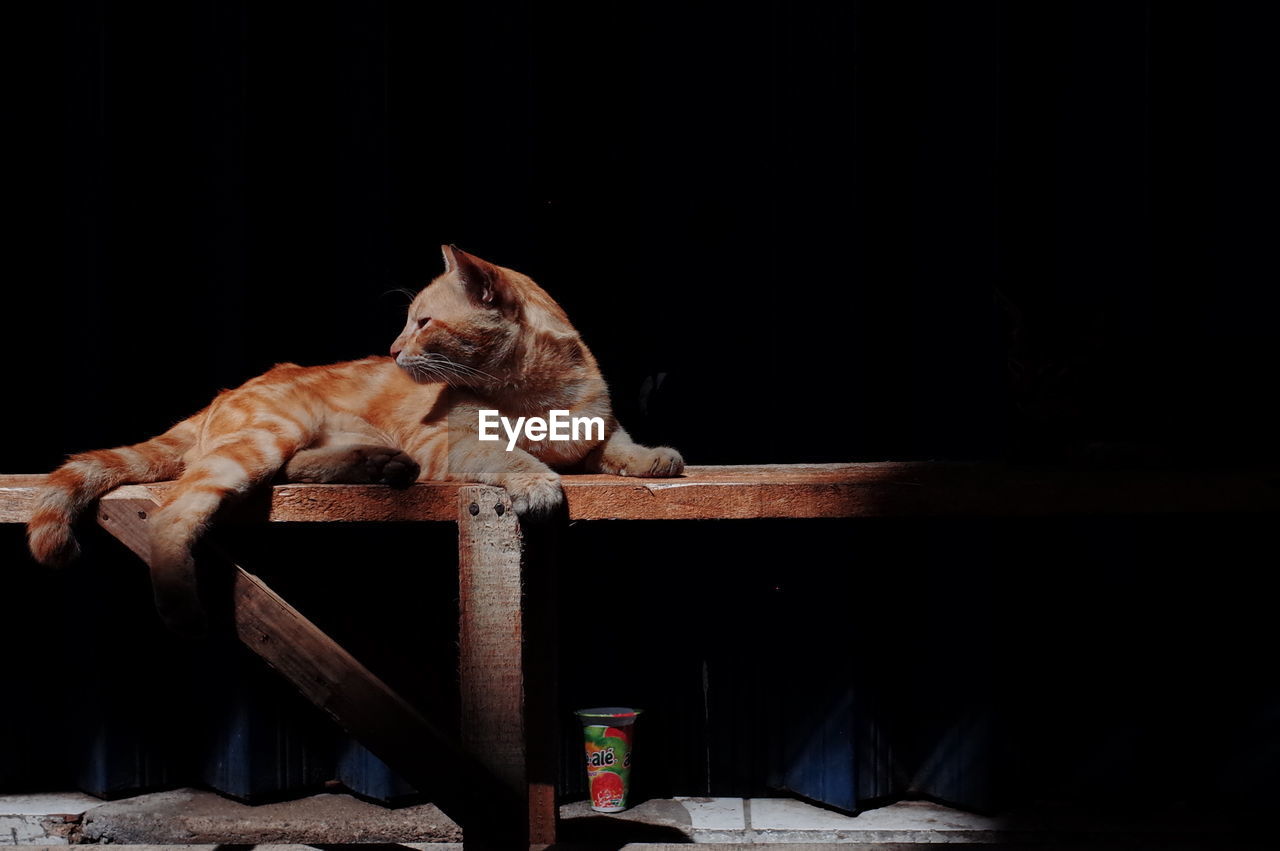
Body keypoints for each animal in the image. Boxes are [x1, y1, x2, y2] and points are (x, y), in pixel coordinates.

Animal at [30, 245, 686, 629]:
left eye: (423, 322)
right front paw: (540, 484)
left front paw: (654, 457)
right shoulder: (449, 443)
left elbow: (617, 445)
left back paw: (379, 466)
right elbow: (510, 454)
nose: (393, 351)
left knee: (296, 468)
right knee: (175, 513)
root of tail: (224, 393)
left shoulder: (597, 427)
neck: (534, 395)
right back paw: (181, 607)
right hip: (266, 436)